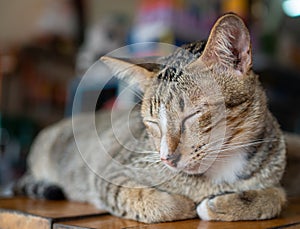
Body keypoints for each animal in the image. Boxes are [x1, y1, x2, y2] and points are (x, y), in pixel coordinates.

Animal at [14, 13, 286, 223]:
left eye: (193, 114)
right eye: (153, 122)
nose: (166, 158)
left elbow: (276, 197)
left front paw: (229, 203)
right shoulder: (108, 174)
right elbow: (147, 200)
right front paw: (186, 204)